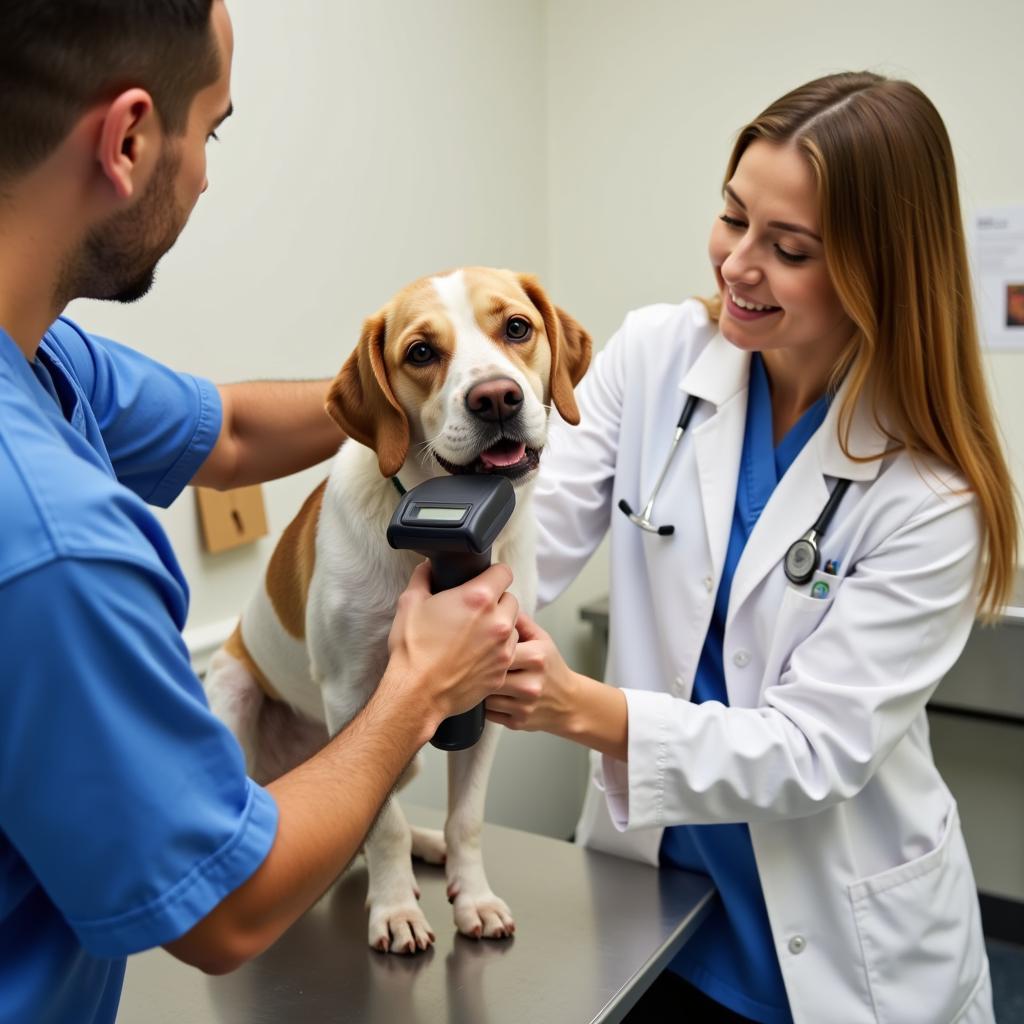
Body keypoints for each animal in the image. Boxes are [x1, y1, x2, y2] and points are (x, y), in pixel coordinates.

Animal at [203, 264, 589, 950]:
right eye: (421, 353)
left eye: (518, 328)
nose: (496, 398)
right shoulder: (354, 695)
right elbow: (381, 828)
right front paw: (394, 910)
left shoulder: (488, 691)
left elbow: (468, 819)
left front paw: (474, 897)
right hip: (239, 697)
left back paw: (429, 847)